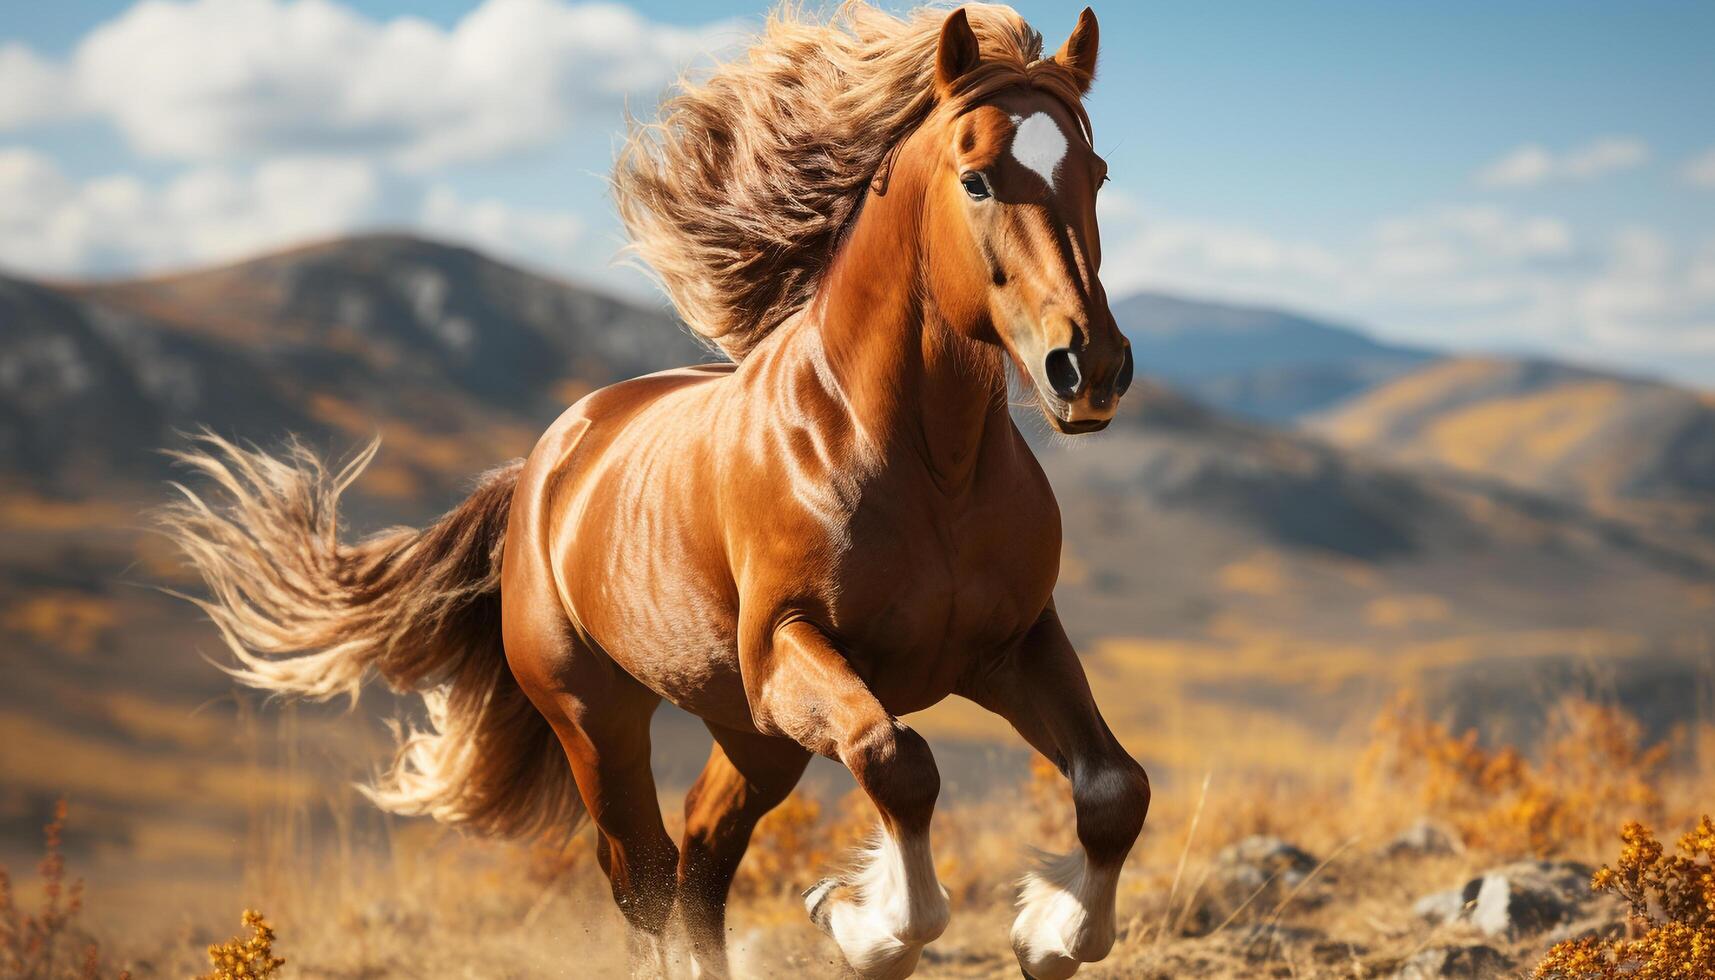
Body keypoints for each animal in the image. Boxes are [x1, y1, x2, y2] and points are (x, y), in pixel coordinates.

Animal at [161, 3, 1152, 974]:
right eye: (977, 178)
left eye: (1097, 174)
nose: (1088, 368)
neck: (926, 466)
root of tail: (542, 467)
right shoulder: (790, 651)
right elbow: (896, 759)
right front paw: (859, 925)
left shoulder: (1011, 645)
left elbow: (1115, 789)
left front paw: (1048, 933)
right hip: (599, 719)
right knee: (643, 876)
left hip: (752, 733)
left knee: (700, 865)